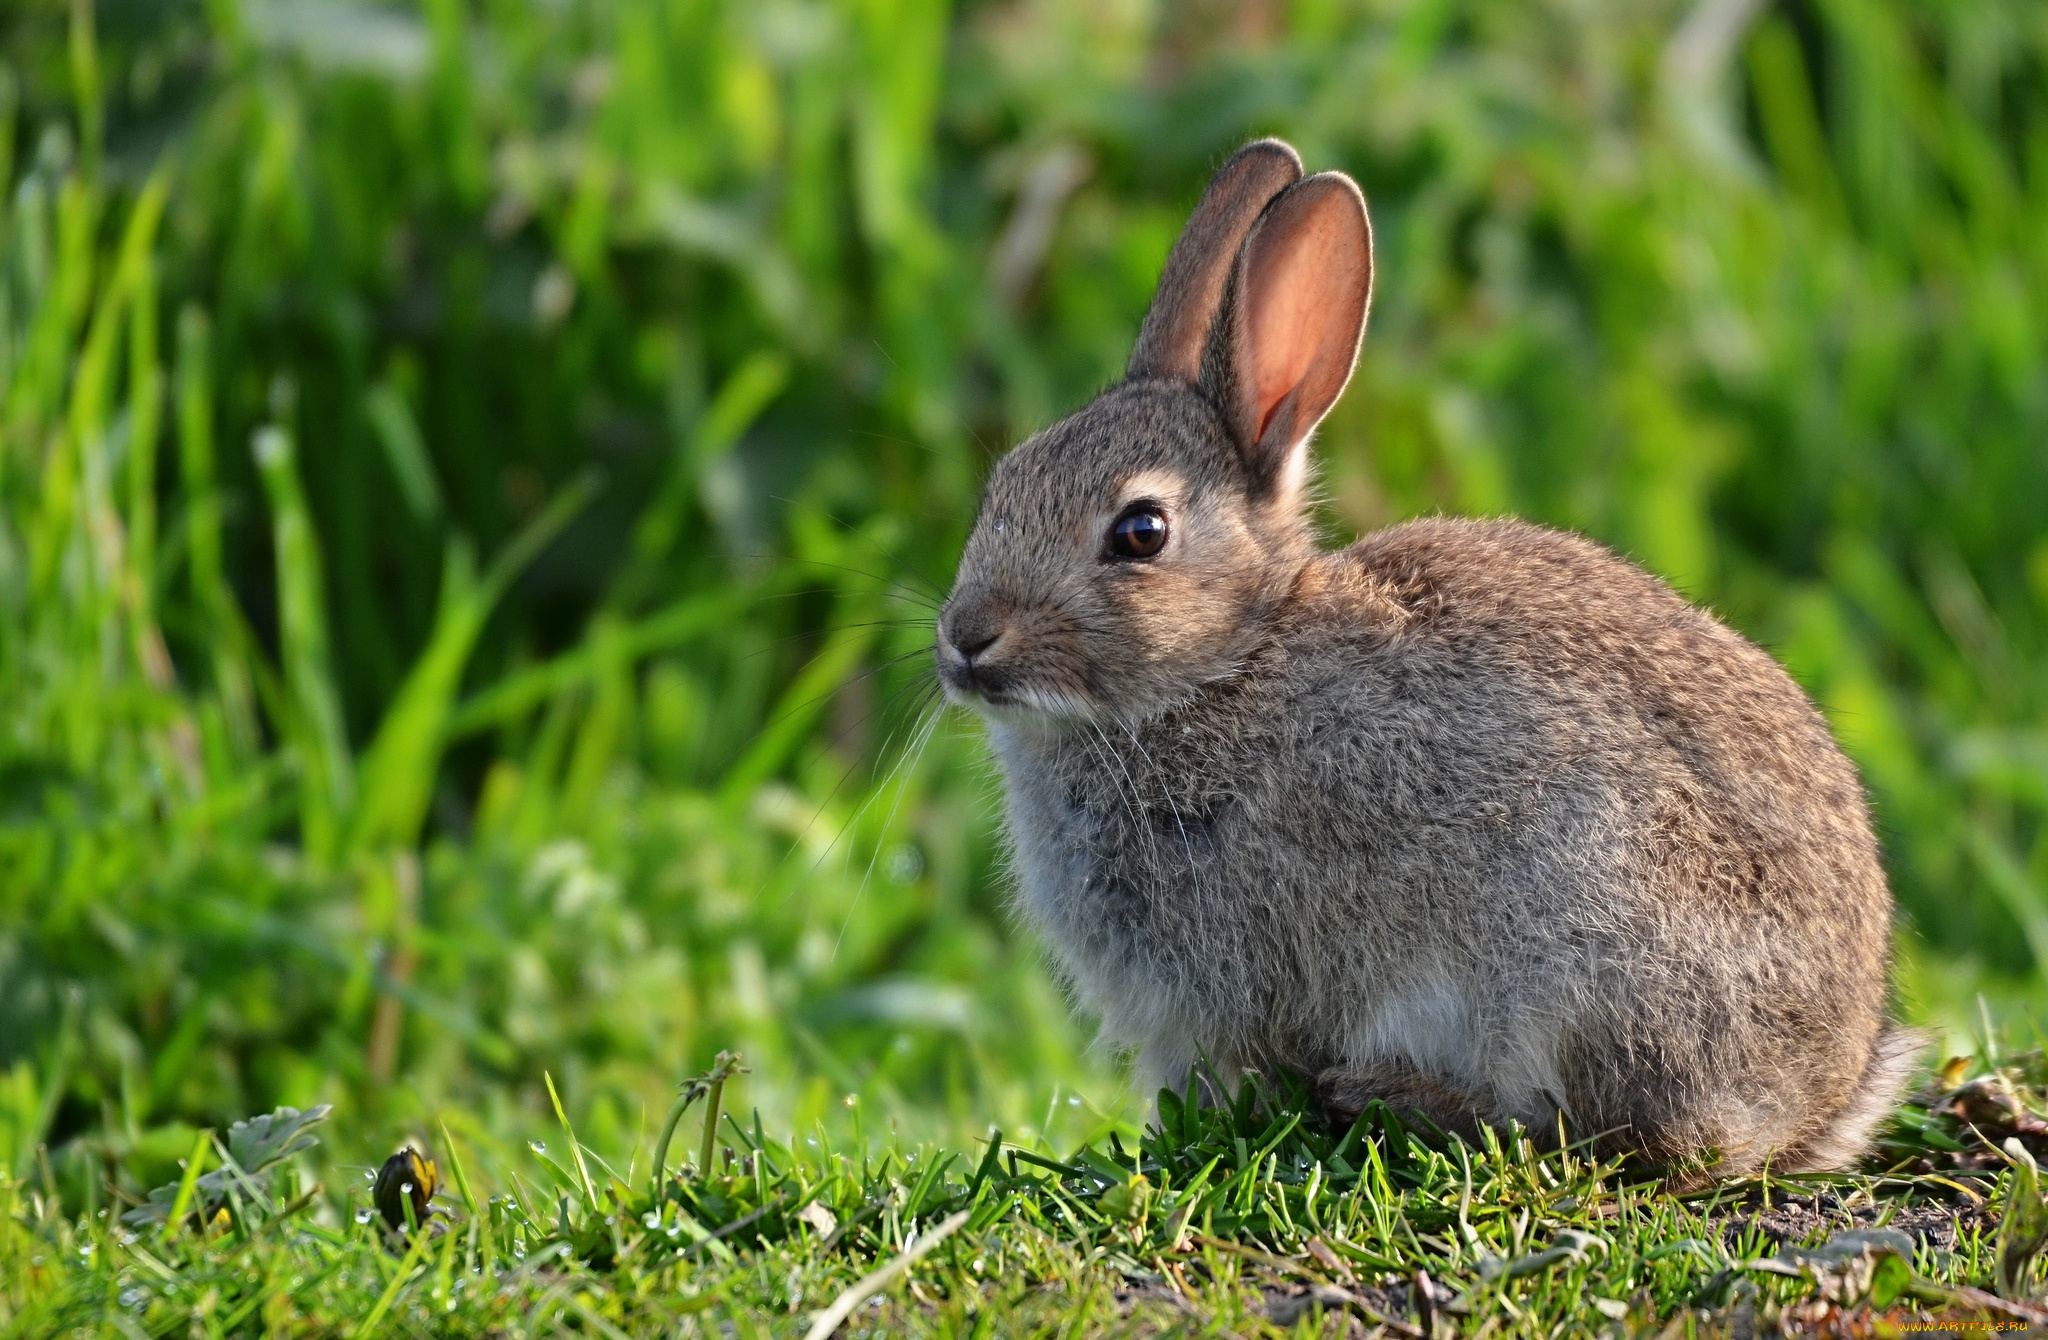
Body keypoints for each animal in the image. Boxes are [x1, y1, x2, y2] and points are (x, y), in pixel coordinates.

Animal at [933, 141, 1916, 1180]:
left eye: (1140, 532)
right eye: (1003, 484)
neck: (1225, 667)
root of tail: (1813, 1099)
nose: (966, 637)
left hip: (1581, 950)